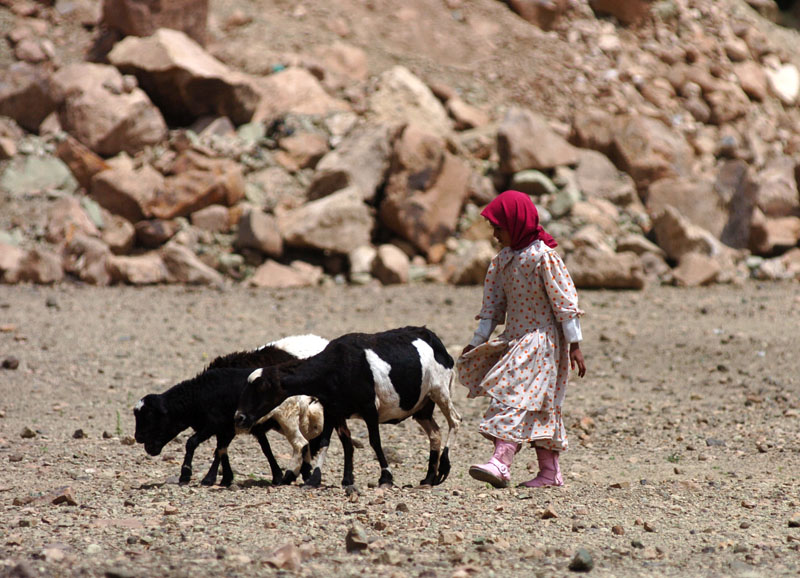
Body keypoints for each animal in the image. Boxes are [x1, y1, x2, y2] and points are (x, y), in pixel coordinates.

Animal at [133, 332, 326, 486]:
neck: (199, 394)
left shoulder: (219, 423)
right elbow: (229, 449)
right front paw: (226, 478)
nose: (138, 437)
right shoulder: (232, 425)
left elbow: (199, 444)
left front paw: (192, 476)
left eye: (152, 417)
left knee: (306, 442)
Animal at [234, 324, 462, 486]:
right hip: (423, 407)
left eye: (262, 387)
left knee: (455, 421)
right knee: (435, 433)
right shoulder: (334, 410)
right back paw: (429, 478)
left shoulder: (369, 408)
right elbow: (331, 442)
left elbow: (374, 442)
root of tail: (432, 337)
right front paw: (320, 479)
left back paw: (444, 467)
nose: (239, 417)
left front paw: (385, 478)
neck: (336, 367)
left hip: (440, 390)